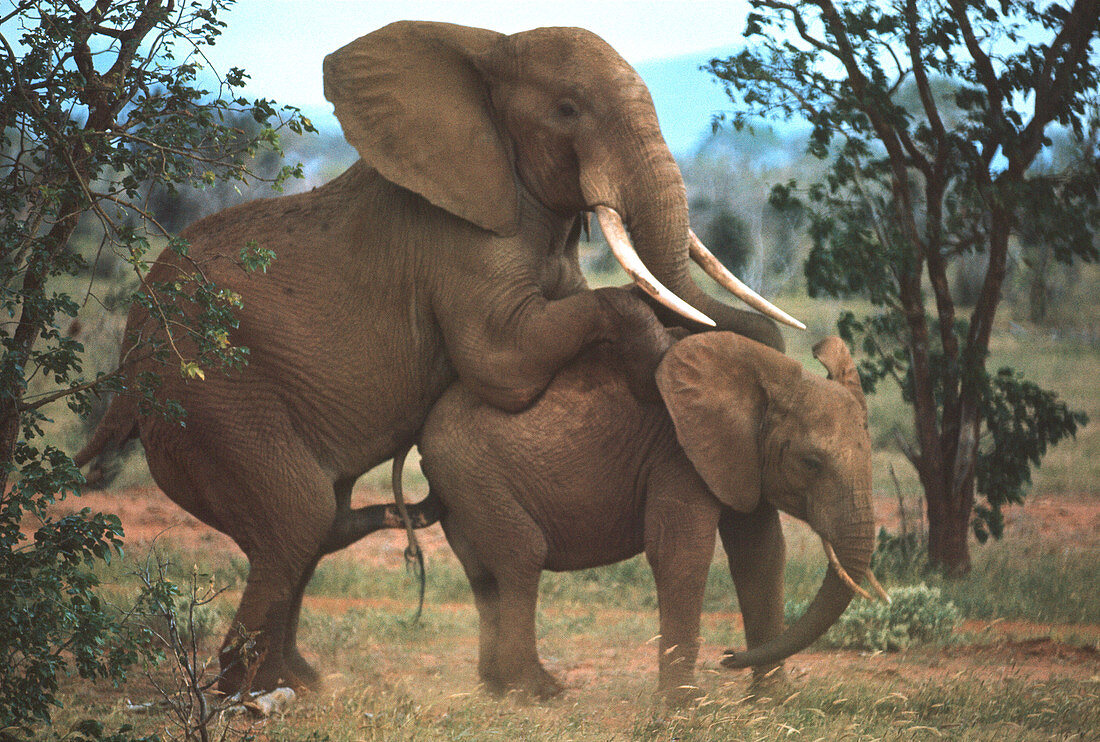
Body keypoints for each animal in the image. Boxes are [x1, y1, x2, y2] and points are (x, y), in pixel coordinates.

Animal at [79, 23, 800, 694]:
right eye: (568, 109)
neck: (487, 49)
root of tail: (129, 361)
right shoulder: (458, 244)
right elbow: (504, 364)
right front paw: (656, 361)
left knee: (313, 525)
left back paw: (299, 684)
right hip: (207, 394)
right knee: (297, 517)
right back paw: (250, 692)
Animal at [413, 334, 884, 699]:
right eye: (811, 463)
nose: (728, 655)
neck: (768, 379)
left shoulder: (743, 457)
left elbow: (761, 554)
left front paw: (772, 701)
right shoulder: (680, 451)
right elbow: (682, 552)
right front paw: (683, 706)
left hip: (463, 482)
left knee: (483, 576)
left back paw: (495, 689)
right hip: (473, 473)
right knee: (522, 558)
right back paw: (537, 692)